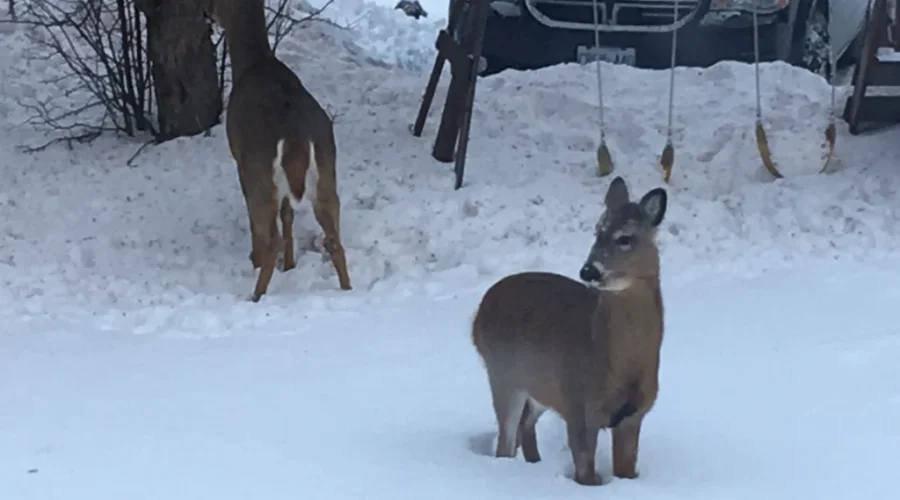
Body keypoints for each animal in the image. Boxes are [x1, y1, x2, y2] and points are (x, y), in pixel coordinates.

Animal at [205, 0, 352, 302]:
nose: (207, 13)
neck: (253, 64)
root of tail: (296, 136)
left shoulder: (240, 160)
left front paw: (255, 259)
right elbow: (289, 214)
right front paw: (291, 264)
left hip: (260, 175)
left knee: (271, 237)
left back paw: (256, 295)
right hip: (326, 174)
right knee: (334, 239)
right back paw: (348, 290)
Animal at [470, 176, 667, 486]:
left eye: (625, 238)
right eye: (597, 230)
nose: (589, 271)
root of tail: (478, 314)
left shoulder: (634, 414)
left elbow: (626, 471)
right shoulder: (579, 406)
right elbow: (585, 475)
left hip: (539, 387)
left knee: (525, 427)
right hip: (503, 374)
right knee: (505, 443)